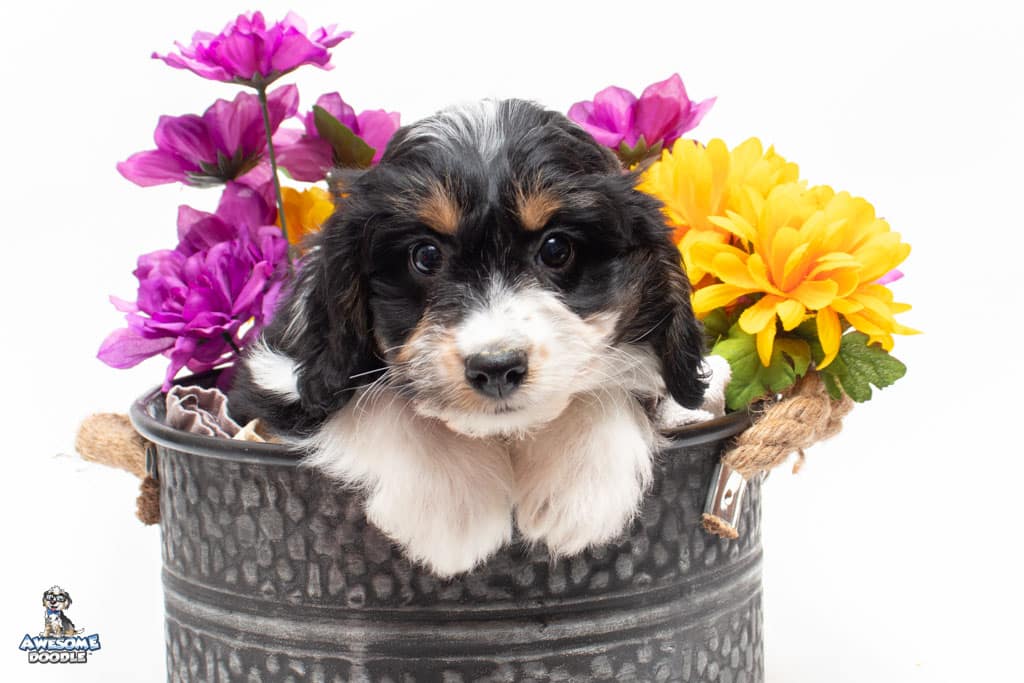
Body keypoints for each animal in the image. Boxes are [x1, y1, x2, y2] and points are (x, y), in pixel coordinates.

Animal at [230, 99, 713, 577]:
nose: (496, 368)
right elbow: (383, 401)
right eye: (425, 256)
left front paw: (579, 489)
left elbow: (603, 382)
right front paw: (453, 506)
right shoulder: (277, 379)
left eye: (557, 249)